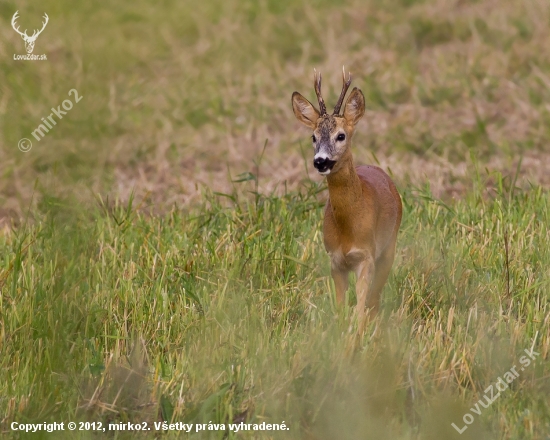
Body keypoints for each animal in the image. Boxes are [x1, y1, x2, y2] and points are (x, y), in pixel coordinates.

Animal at [292, 67, 404, 318]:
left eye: (341, 135)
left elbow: (360, 311)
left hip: (389, 247)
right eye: (313, 137)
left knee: (374, 299)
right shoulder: (335, 260)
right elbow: (341, 311)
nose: (320, 161)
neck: (348, 228)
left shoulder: (367, 256)